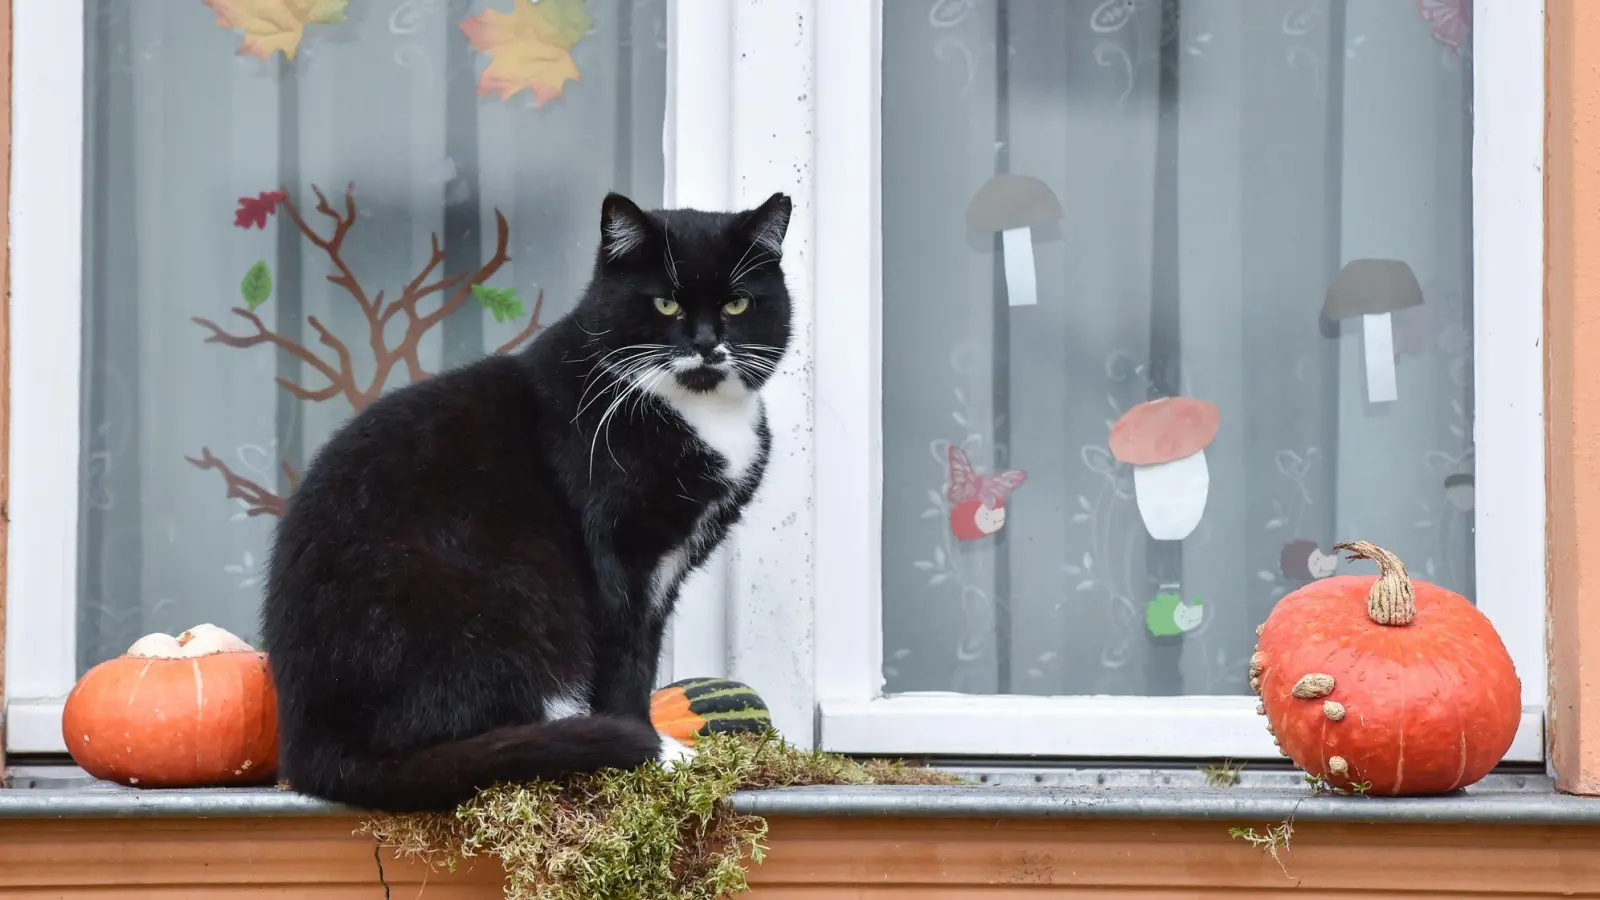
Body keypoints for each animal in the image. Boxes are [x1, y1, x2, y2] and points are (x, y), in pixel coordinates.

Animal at [257, 192, 800, 810]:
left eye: (737, 302)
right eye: (664, 302)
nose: (708, 344)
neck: (696, 414)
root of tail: (312, 748)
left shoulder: (667, 567)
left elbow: (643, 650)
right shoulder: (617, 553)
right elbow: (622, 654)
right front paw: (649, 751)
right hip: (501, 593)